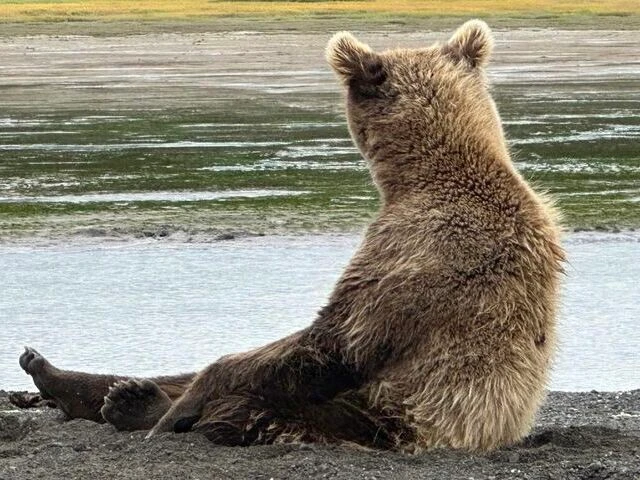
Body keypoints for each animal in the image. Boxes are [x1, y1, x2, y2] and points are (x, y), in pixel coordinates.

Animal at [15, 19, 565, 452]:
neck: (426, 177)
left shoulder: (411, 254)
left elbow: (332, 344)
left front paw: (175, 409)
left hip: (379, 419)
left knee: (253, 408)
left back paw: (138, 405)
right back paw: (76, 379)